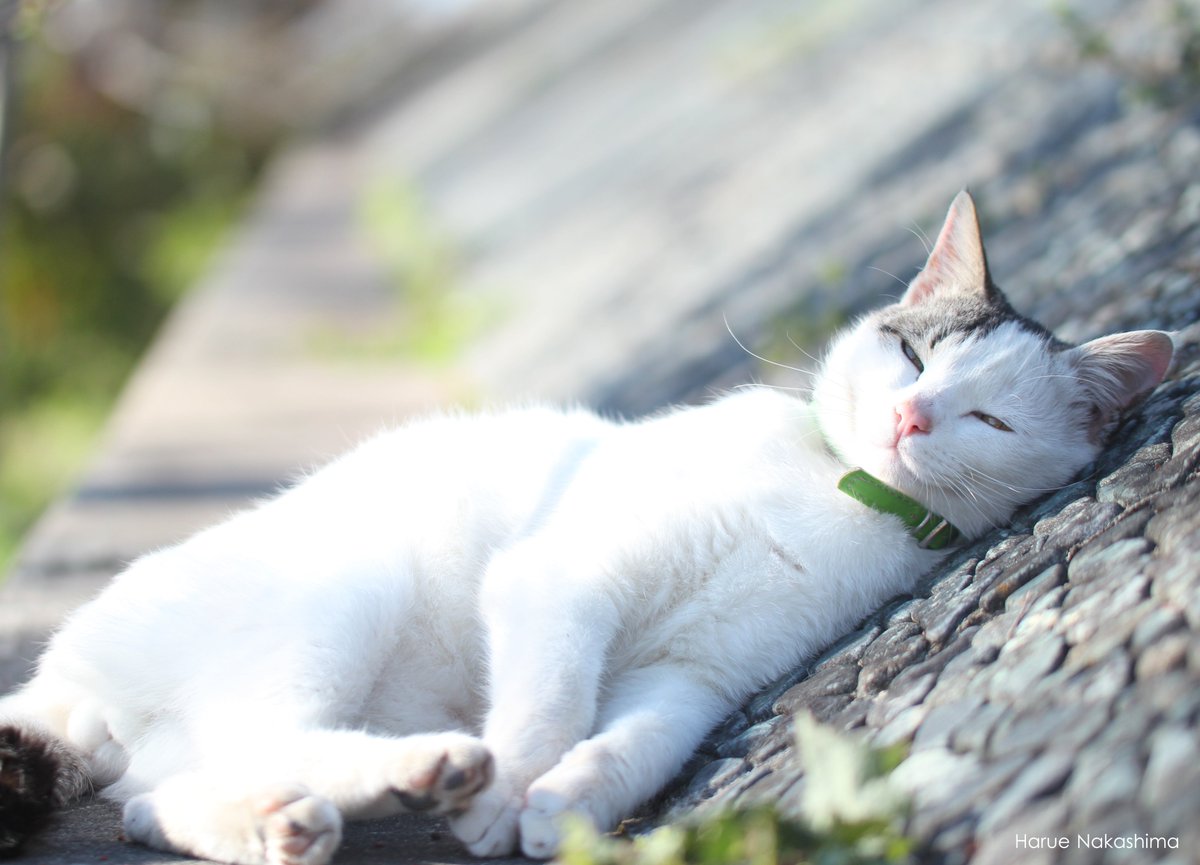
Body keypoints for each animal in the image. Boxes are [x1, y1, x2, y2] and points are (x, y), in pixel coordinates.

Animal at [0, 191, 1171, 863]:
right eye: (916, 355)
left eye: (992, 418)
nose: (909, 418)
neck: (839, 494)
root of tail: (63, 672)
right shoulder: (559, 577)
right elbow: (554, 698)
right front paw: (508, 788)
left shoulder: (691, 678)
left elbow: (633, 746)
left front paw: (557, 803)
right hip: (344, 589)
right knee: (258, 737)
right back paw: (429, 768)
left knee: (157, 795)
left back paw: (282, 821)